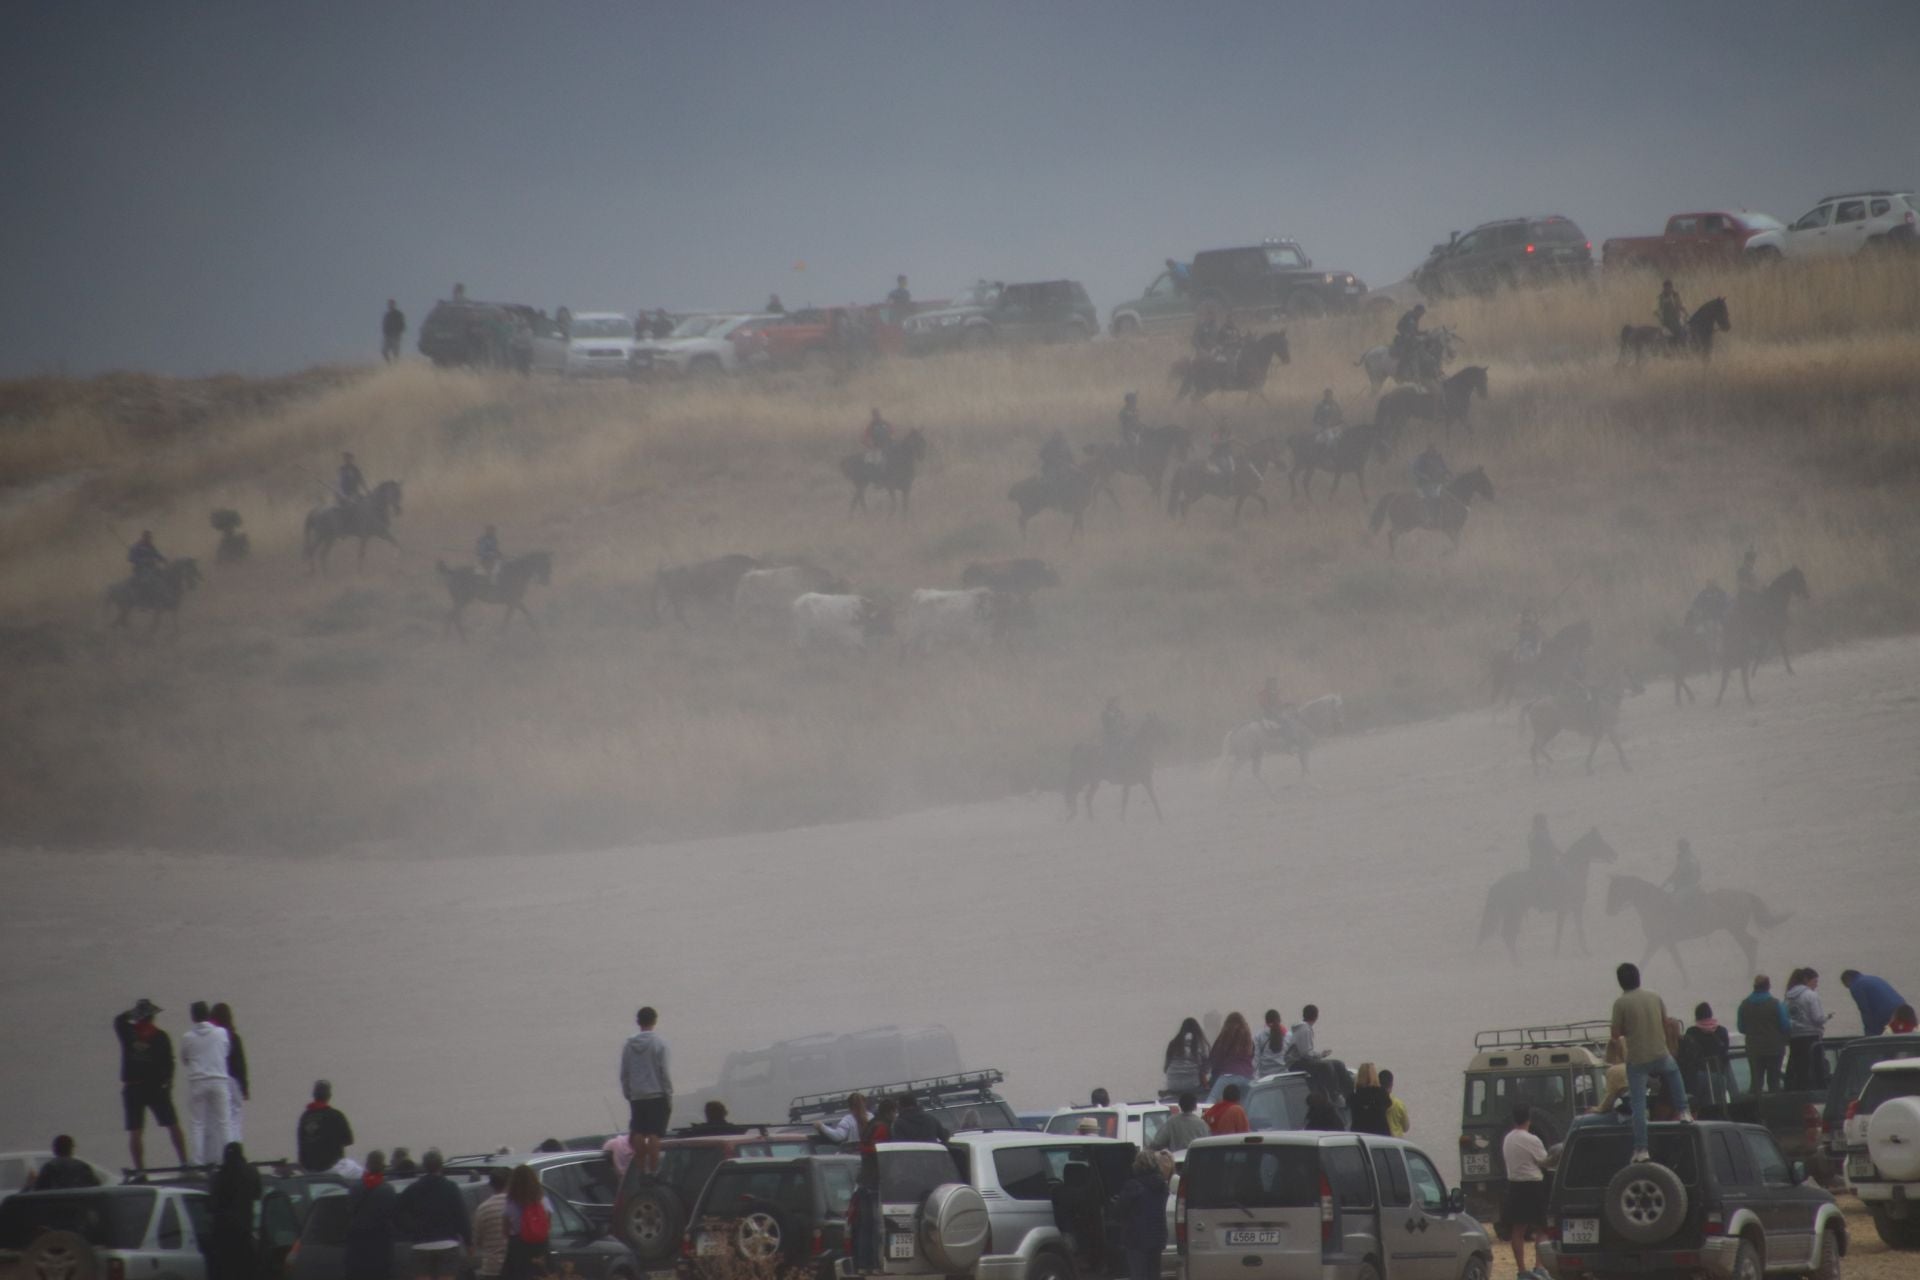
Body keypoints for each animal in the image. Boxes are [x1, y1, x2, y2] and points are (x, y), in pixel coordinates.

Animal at [1474, 832, 1628, 959]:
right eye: (1598, 841)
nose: (1615, 854)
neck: (1572, 873)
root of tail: (1498, 884)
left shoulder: (1569, 910)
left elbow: (1570, 931)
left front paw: (1566, 952)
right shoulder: (1571, 908)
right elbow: (1572, 931)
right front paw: (1575, 952)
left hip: (1514, 913)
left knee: (1508, 935)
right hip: (1514, 912)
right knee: (1508, 935)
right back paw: (1517, 961)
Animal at [1605, 875, 1797, 990]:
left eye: (1615, 891)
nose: (1609, 911)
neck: (1655, 905)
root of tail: (1744, 895)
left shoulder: (1657, 941)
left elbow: (1646, 961)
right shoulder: (1665, 942)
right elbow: (1674, 961)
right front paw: (1687, 981)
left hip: (1735, 929)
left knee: (1750, 945)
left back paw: (1749, 974)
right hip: (1735, 929)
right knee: (1750, 945)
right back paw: (1749, 974)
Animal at [1720, 571, 1804, 710]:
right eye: (1799, 578)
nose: (1806, 594)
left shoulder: (1769, 634)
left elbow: (1767, 651)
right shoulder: (1773, 633)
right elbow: (1775, 650)